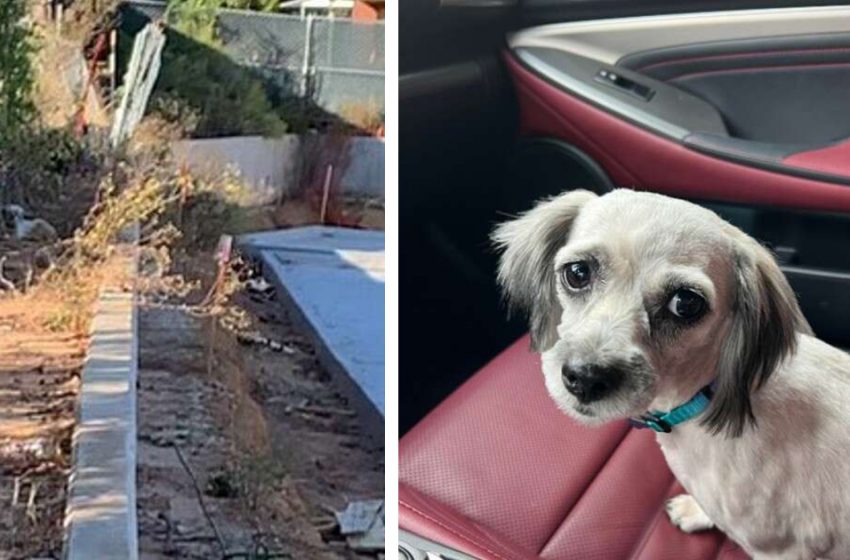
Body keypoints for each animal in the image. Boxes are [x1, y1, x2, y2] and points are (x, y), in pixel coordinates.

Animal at [494, 189, 848, 560]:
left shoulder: (782, 549)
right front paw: (697, 510)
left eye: (686, 303)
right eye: (577, 273)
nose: (586, 378)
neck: (704, 396)